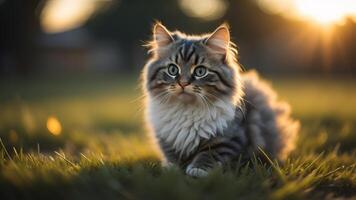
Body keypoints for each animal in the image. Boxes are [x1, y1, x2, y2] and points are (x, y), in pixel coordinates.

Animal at [140, 22, 298, 177]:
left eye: (200, 71)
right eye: (172, 70)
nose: (183, 83)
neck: (187, 109)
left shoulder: (229, 138)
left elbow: (209, 154)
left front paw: (197, 170)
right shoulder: (166, 138)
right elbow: (172, 156)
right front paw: (171, 169)